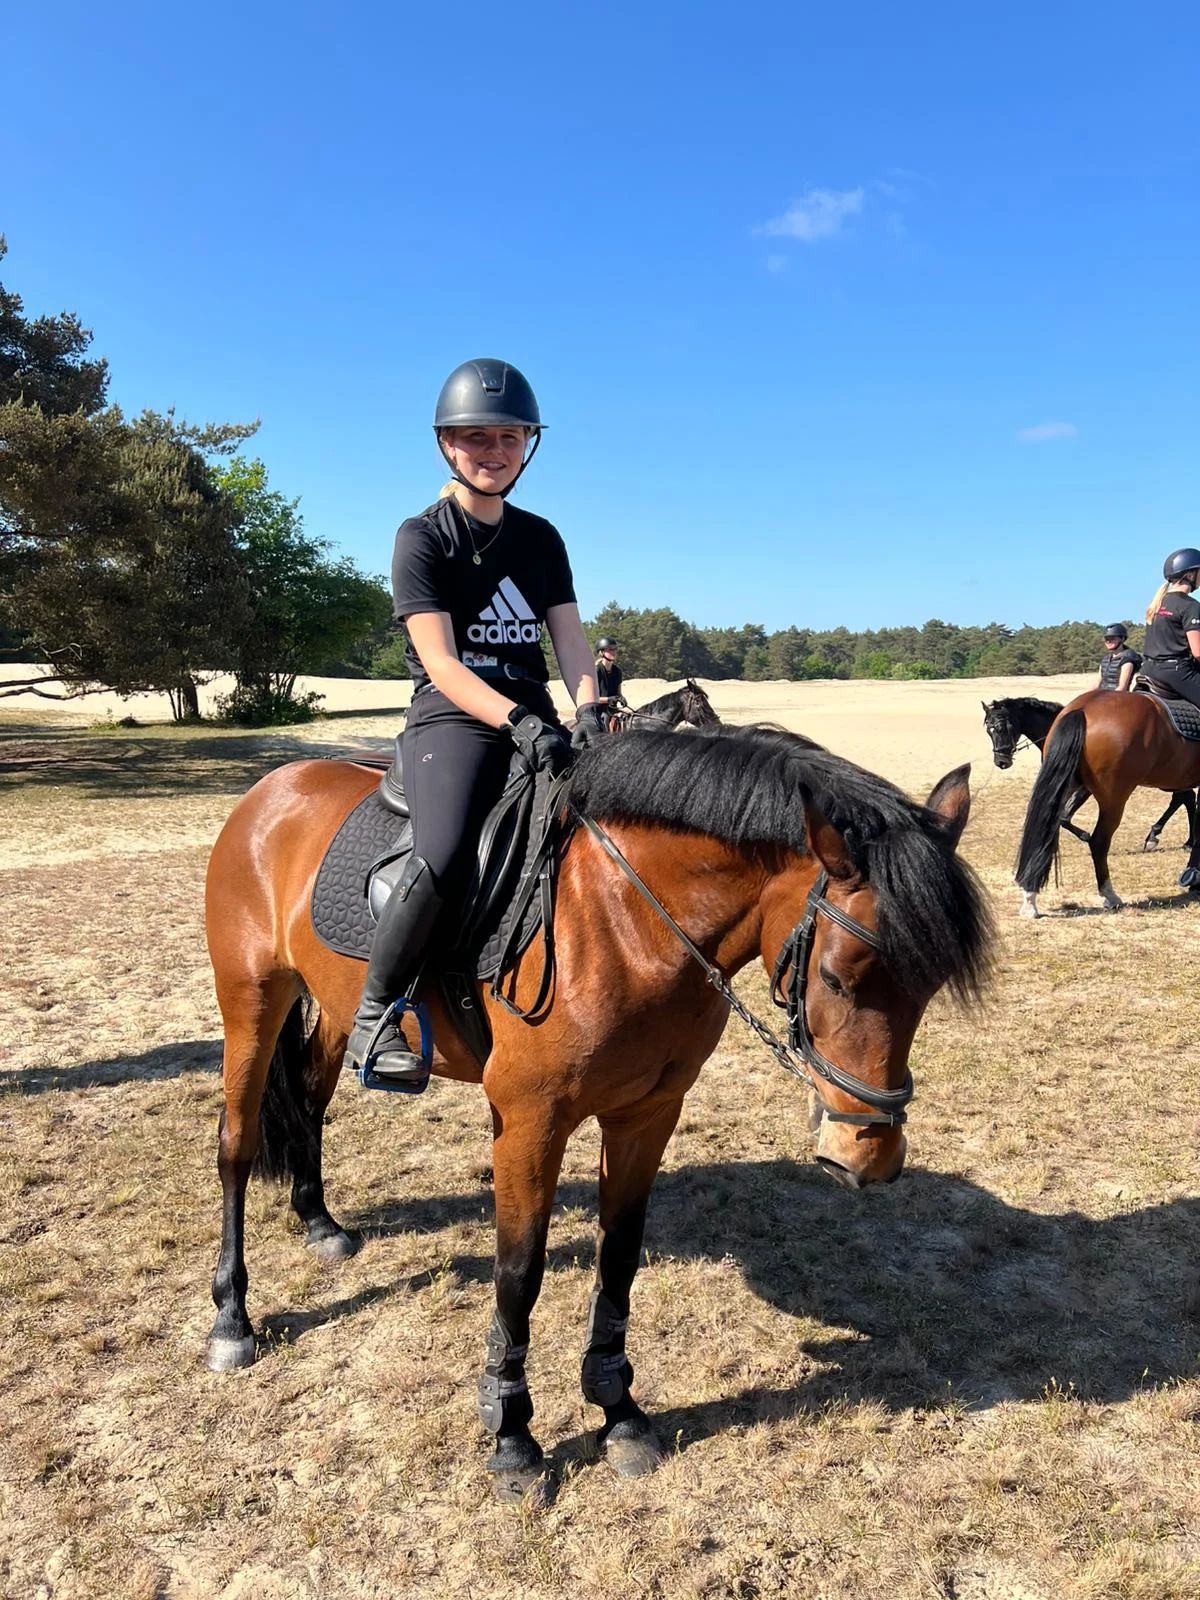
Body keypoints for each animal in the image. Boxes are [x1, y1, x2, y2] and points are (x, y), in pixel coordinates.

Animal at [204, 725, 992, 1501]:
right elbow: (518, 1270)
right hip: (252, 1002)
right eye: (836, 976)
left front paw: (619, 1412)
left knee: (311, 1098)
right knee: (236, 1147)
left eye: (929, 987)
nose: (870, 1157)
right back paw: (232, 1320)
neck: (627, 920)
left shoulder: (649, 1114)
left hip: (333, 1007)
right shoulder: (528, 1120)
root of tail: (273, 789)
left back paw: (319, 1221)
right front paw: (512, 1436)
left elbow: (618, 1257)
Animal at [982, 697, 1196, 851]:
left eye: (1002, 727)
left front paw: (1086, 836)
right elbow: (1061, 816)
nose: (1001, 761)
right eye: (989, 731)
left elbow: (1064, 817)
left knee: (1184, 798)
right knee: (1184, 798)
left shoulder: (1085, 788)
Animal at [1014, 689, 1200, 916]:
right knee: (1099, 842)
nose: (1001, 760)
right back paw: (1110, 894)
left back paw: (1030, 897)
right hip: (1113, 800)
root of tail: (1082, 709)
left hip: (1065, 787)